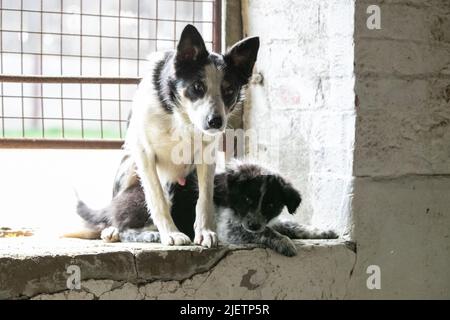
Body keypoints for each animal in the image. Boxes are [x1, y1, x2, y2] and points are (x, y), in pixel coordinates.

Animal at [76, 164, 338, 256]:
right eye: (246, 199)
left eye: (270, 205)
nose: (253, 224)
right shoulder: (230, 229)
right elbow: (268, 232)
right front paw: (285, 243)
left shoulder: (264, 221)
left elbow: (291, 224)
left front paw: (322, 231)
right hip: (158, 199)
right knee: (124, 228)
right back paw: (150, 235)